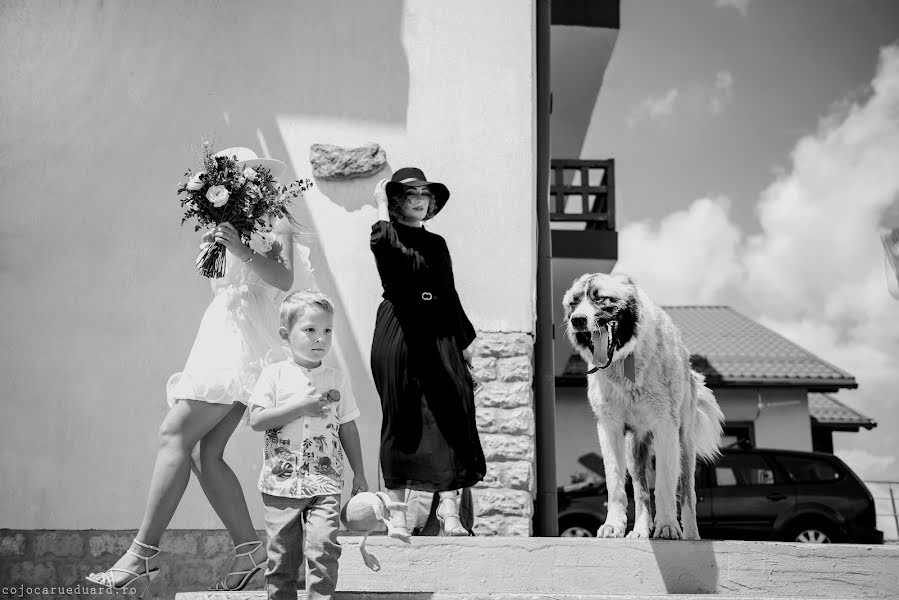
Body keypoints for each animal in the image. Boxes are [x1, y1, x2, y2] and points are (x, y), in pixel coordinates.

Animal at [568, 272, 728, 540]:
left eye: (601, 298)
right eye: (574, 302)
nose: (577, 320)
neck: (624, 361)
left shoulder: (666, 427)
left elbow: (664, 485)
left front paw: (668, 527)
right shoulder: (609, 428)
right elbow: (616, 485)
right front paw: (613, 525)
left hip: (685, 444)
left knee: (687, 494)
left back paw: (691, 536)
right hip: (636, 450)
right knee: (641, 493)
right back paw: (641, 531)